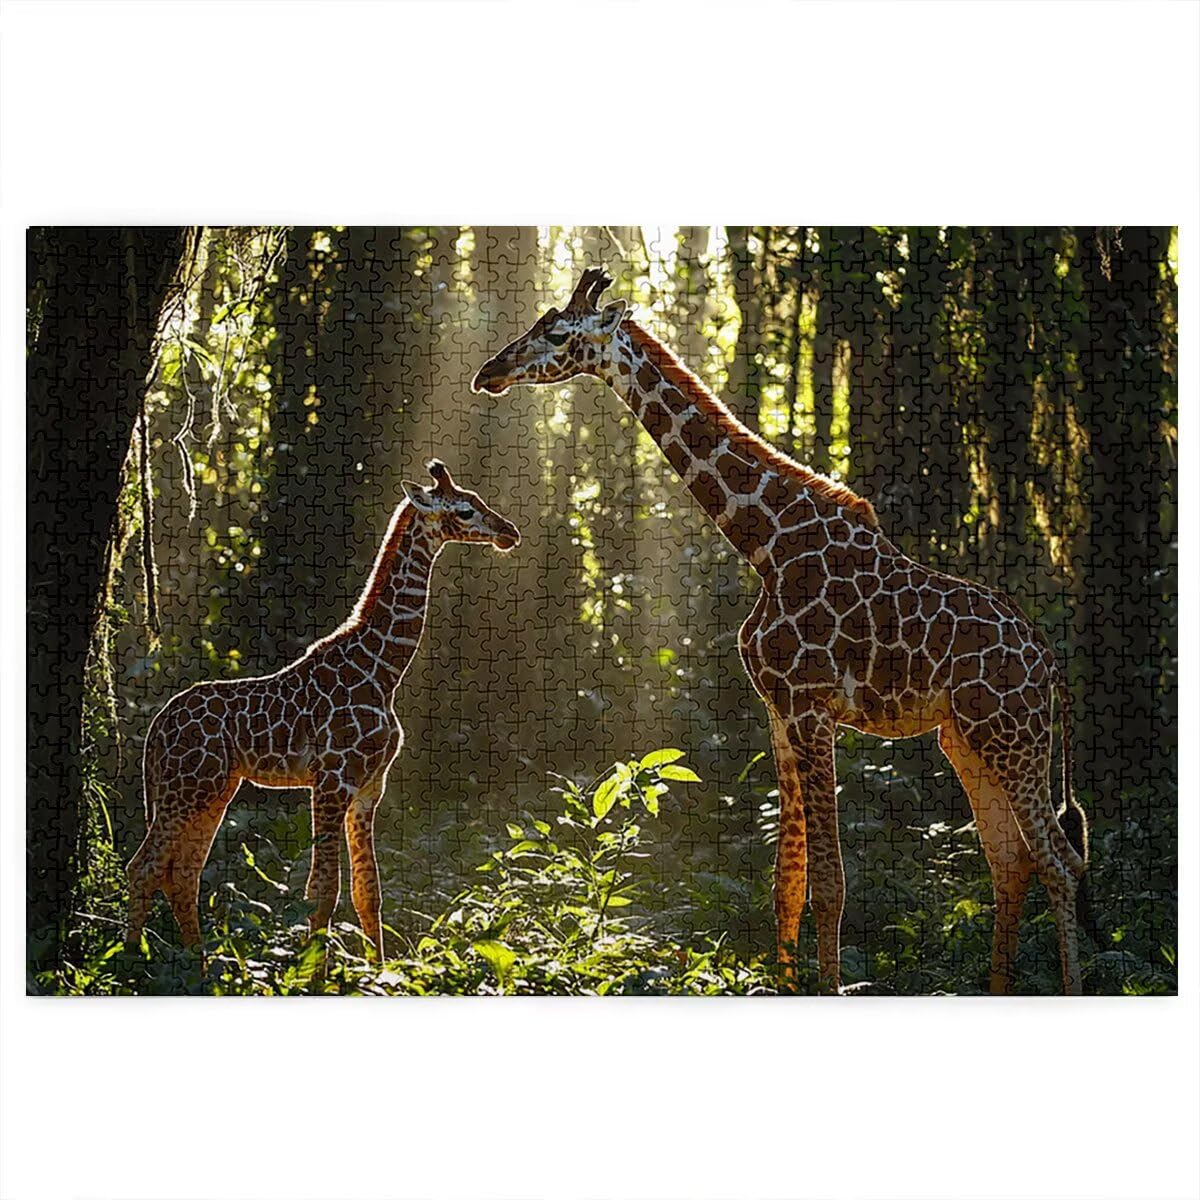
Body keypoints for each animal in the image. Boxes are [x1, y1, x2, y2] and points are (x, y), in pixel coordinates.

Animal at [125, 459, 520, 962]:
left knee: (182, 875)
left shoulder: (370, 787)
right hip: (188, 788)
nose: (509, 532)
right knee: (144, 867)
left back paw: (199, 964)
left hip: (214, 789)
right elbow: (322, 890)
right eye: (466, 510)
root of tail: (155, 730)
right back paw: (131, 961)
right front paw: (316, 969)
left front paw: (378, 968)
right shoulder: (332, 779)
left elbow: (367, 891)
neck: (383, 669)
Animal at [473, 268, 1090, 995]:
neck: (763, 541)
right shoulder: (777, 707)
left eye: (557, 334)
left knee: (1058, 860)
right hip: (966, 740)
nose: (489, 372)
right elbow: (787, 882)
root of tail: (1048, 663)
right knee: (1010, 861)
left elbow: (830, 882)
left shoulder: (810, 704)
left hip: (1011, 735)